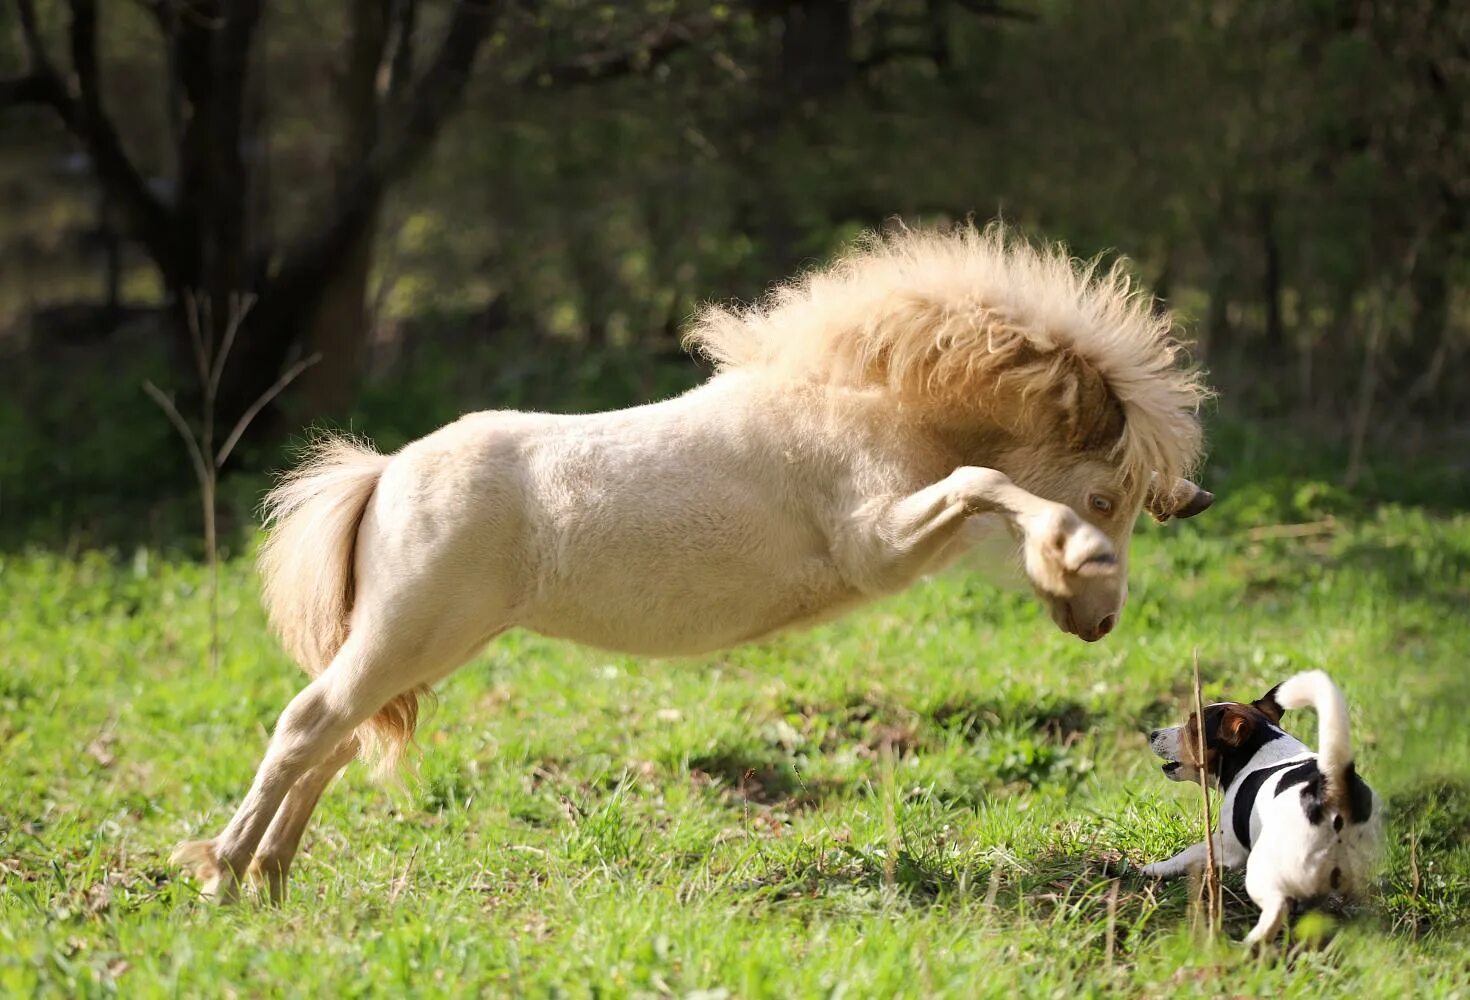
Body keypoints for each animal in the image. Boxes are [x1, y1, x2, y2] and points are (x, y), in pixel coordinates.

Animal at [174, 222, 1205, 900]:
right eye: (1105, 500)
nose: (1097, 621)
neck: (866, 401)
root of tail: (384, 472)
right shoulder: (877, 540)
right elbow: (984, 481)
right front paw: (1067, 552)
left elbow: (979, 485)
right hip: (408, 635)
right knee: (308, 724)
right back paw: (224, 875)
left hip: (421, 646)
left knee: (335, 738)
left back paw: (271, 880)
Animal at [1140, 670, 1381, 947]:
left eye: (1193, 728)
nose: (1153, 734)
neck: (1262, 750)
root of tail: (1331, 789)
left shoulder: (1225, 847)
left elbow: (1187, 854)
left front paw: (1156, 868)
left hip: (1262, 869)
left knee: (1276, 907)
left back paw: (1248, 944)